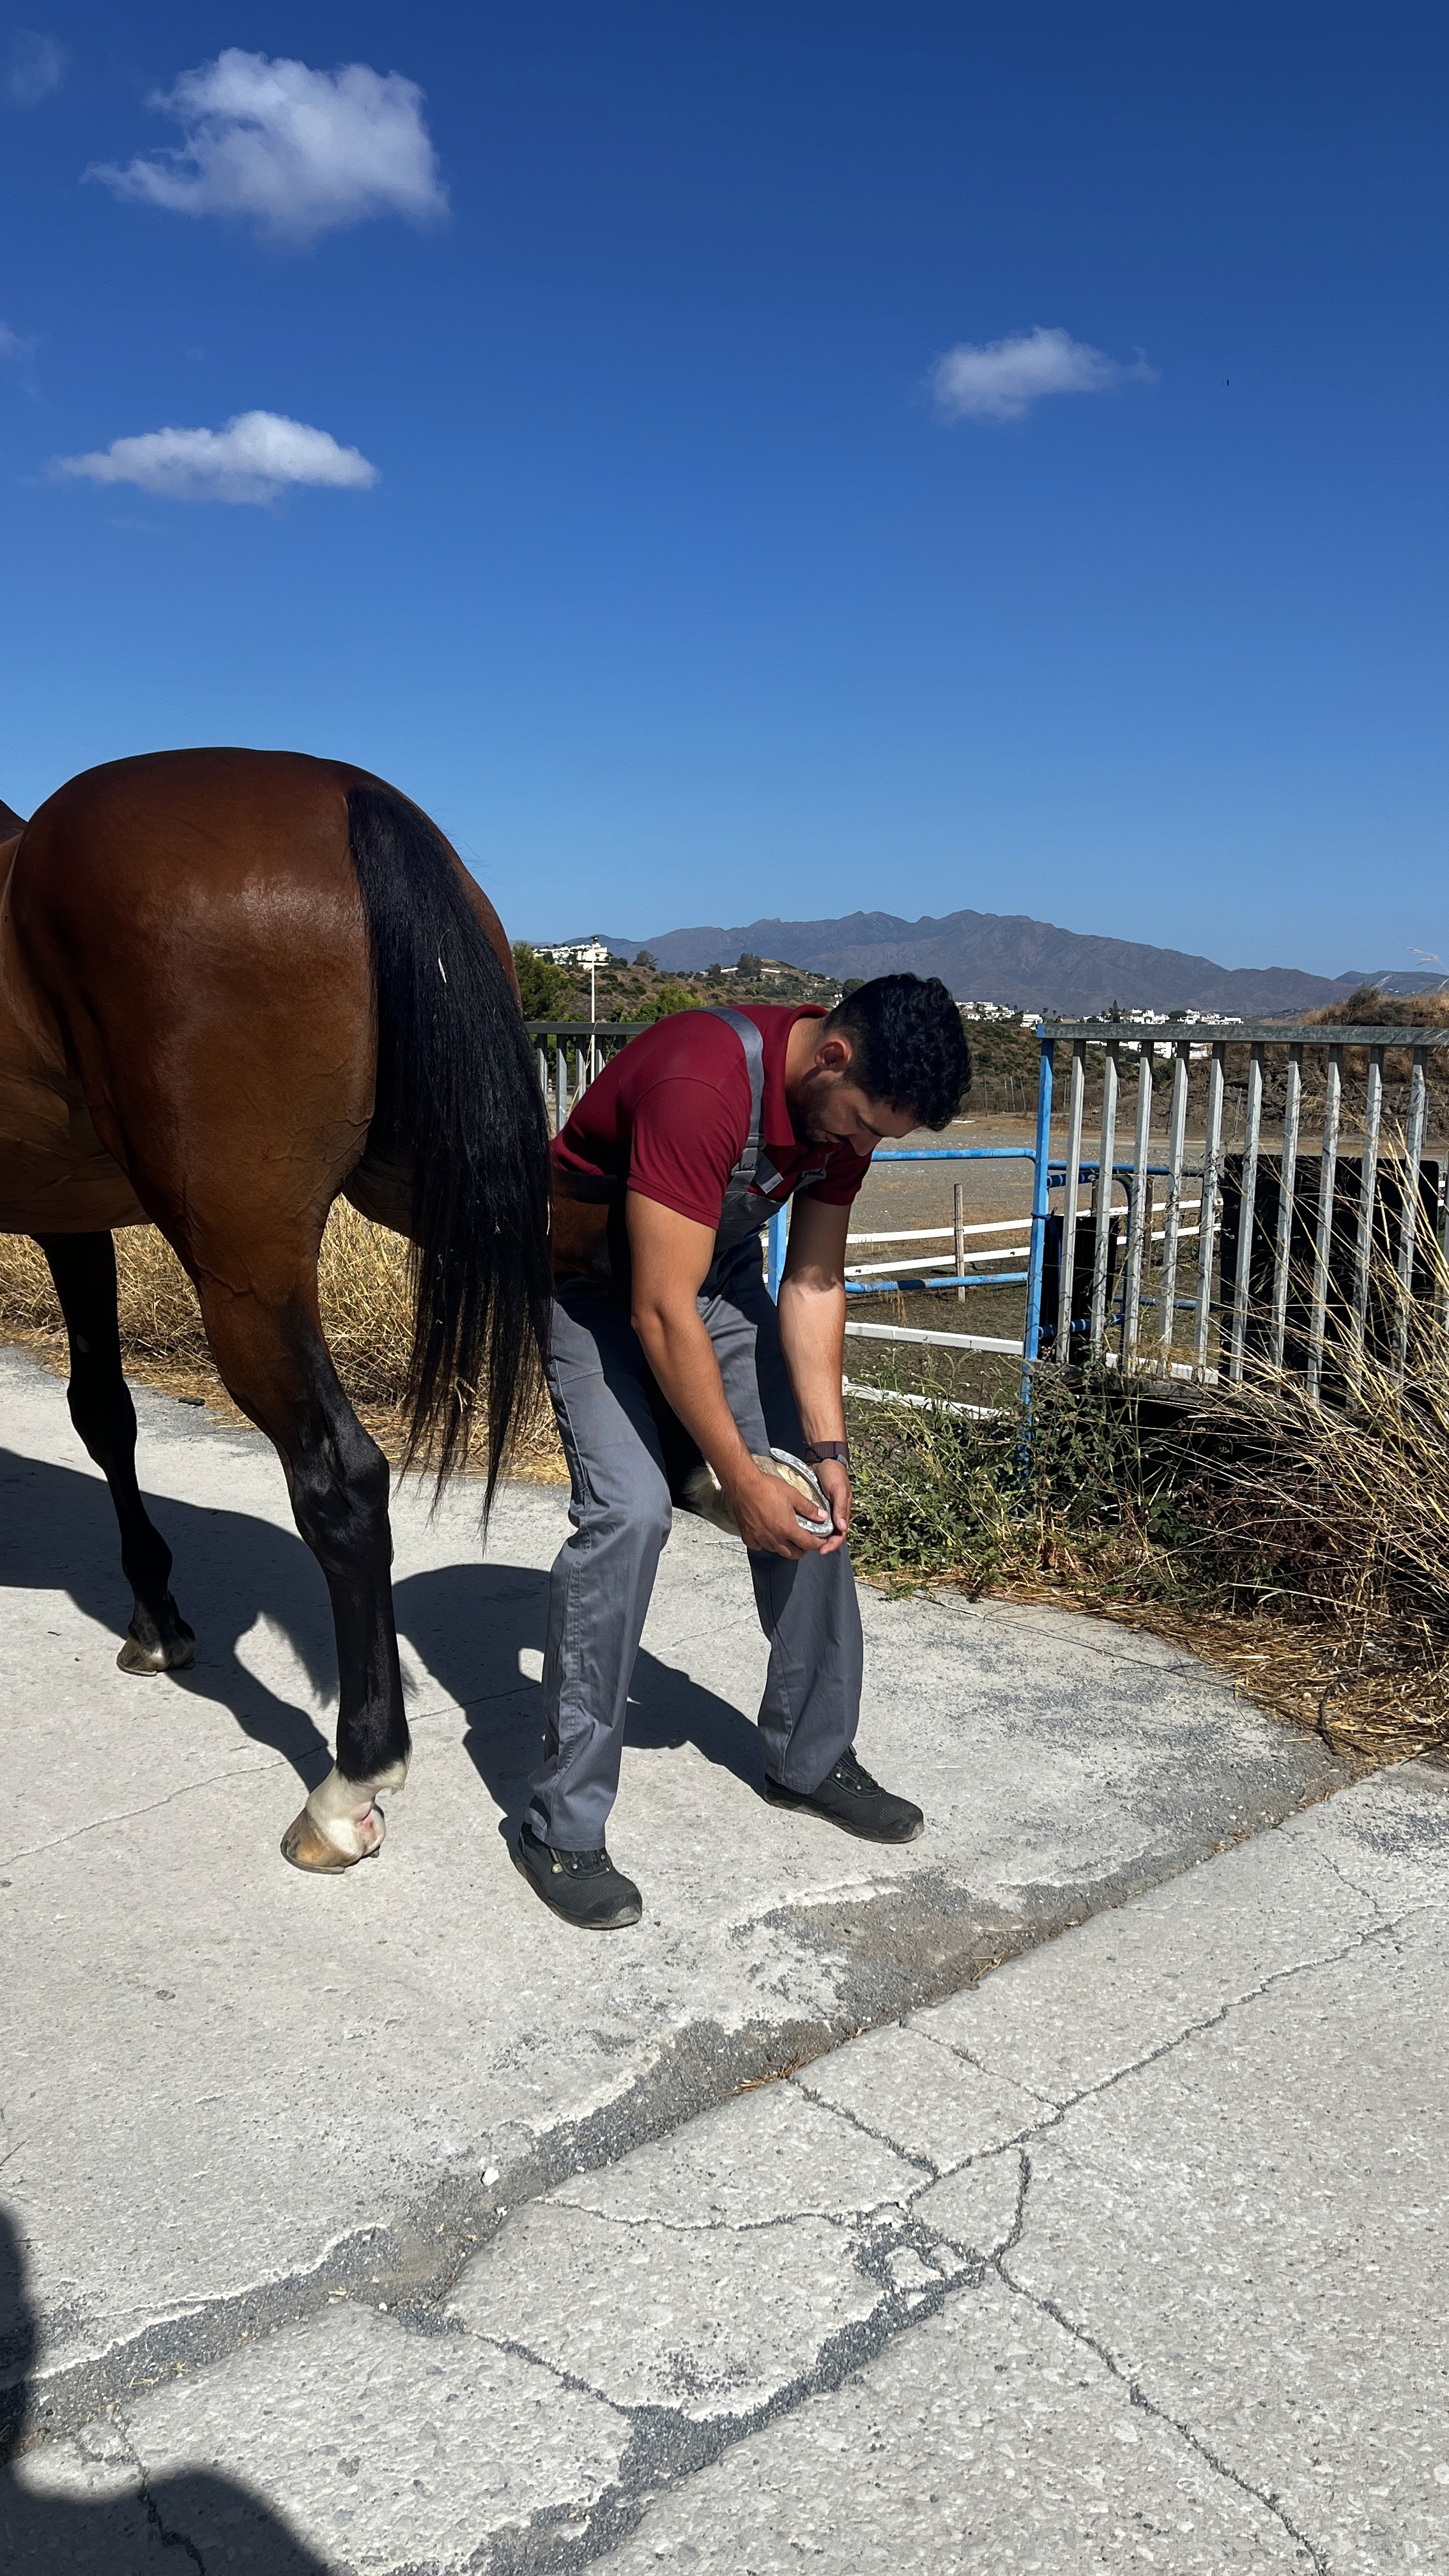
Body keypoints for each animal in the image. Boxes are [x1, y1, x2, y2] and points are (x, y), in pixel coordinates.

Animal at [0, 750, 551, 1871]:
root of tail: (346, 791)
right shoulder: (71, 1224)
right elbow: (102, 1410)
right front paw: (156, 1615)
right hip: (443, 1182)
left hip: (244, 1267)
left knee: (341, 1481)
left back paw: (350, 1785)